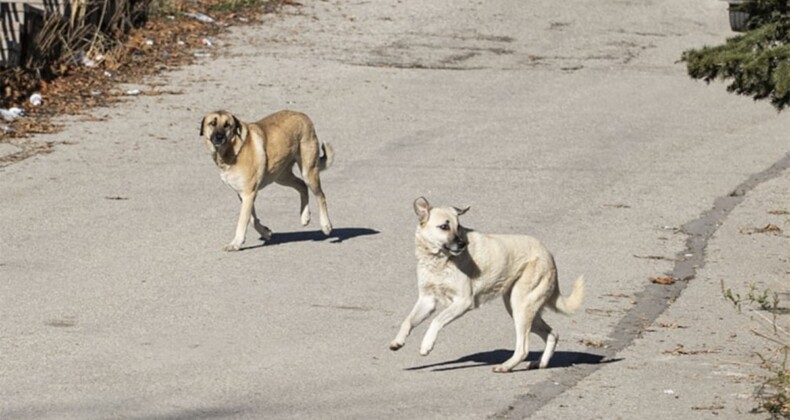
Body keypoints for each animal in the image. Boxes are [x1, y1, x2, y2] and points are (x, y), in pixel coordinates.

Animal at [201, 110, 334, 251]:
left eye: (227, 125)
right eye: (212, 123)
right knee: (302, 186)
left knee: (321, 196)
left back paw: (326, 225)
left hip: (308, 172)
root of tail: (302, 115)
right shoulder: (244, 195)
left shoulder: (249, 194)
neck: (233, 150)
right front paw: (266, 232)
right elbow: (251, 219)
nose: (219, 137)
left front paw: (236, 243)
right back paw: (305, 217)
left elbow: (243, 221)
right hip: (281, 176)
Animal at [392, 197, 588, 370]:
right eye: (444, 226)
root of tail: (549, 255)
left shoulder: (464, 302)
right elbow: (407, 321)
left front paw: (426, 344)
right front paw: (398, 341)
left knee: (523, 348)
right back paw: (541, 363)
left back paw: (506, 366)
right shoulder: (427, 300)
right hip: (519, 307)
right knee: (552, 334)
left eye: (458, 227)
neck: (438, 260)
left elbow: (436, 321)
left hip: (520, 306)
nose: (462, 244)